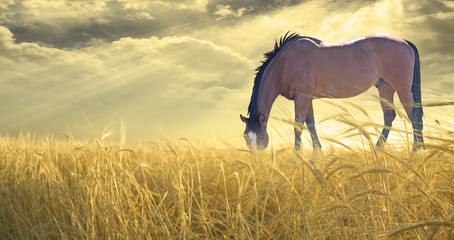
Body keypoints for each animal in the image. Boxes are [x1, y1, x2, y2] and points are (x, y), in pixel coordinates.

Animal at [239, 31, 424, 151]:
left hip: (402, 88)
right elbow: (311, 124)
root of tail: (405, 42)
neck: (286, 62)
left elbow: (298, 126)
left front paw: (298, 156)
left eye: (262, 137)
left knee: (413, 115)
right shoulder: (307, 98)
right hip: (385, 88)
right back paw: (379, 149)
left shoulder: (302, 97)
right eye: (246, 137)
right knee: (389, 116)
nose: (258, 163)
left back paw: (416, 152)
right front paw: (316, 154)